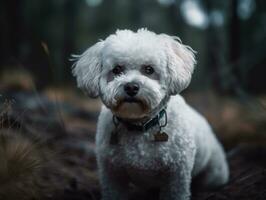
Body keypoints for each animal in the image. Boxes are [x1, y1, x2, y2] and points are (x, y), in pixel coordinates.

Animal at [72, 28, 229, 200]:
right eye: (117, 70)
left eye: (149, 69)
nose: (131, 87)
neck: (139, 126)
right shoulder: (112, 174)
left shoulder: (177, 175)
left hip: (214, 174)